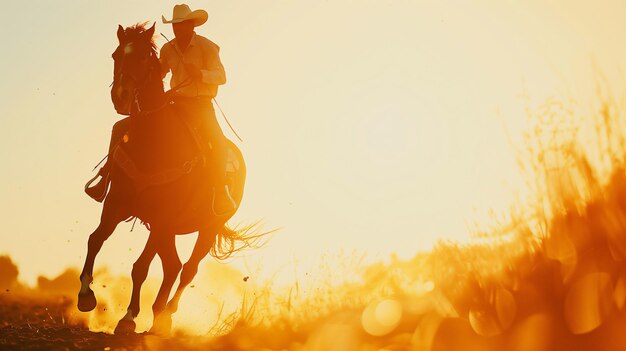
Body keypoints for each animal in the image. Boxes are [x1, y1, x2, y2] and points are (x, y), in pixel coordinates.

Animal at [77, 22, 255, 336]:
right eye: (116, 55)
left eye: (143, 58)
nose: (121, 97)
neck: (152, 140)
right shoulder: (116, 204)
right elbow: (94, 240)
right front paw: (86, 295)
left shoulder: (162, 216)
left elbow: (140, 267)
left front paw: (127, 318)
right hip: (167, 230)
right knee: (173, 265)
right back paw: (158, 316)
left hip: (206, 229)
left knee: (187, 269)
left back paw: (166, 315)